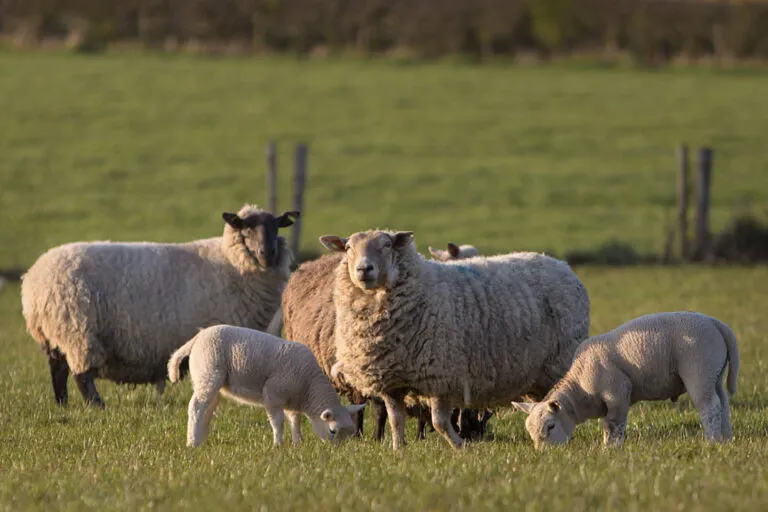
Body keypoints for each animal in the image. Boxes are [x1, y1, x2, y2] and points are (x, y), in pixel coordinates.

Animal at [21, 204, 296, 408]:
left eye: (275, 227)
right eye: (246, 228)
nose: (267, 253)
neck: (232, 264)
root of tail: (33, 279)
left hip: (54, 335)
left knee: (57, 370)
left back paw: (62, 404)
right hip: (77, 330)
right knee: (81, 374)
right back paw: (97, 406)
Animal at [168, 326, 366, 446]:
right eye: (332, 431)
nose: (336, 451)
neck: (308, 386)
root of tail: (198, 337)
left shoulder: (291, 400)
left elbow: (295, 420)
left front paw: (298, 443)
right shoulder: (273, 394)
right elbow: (278, 422)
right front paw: (278, 444)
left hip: (209, 379)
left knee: (207, 409)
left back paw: (200, 439)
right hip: (208, 372)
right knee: (196, 407)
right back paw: (192, 442)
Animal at [512, 310, 740, 446]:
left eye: (550, 426)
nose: (545, 454)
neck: (580, 386)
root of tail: (714, 323)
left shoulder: (617, 392)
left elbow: (615, 424)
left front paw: (612, 449)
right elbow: (606, 425)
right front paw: (607, 447)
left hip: (699, 371)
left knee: (709, 406)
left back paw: (712, 440)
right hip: (714, 374)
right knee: (723, 402)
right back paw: (726, 438)